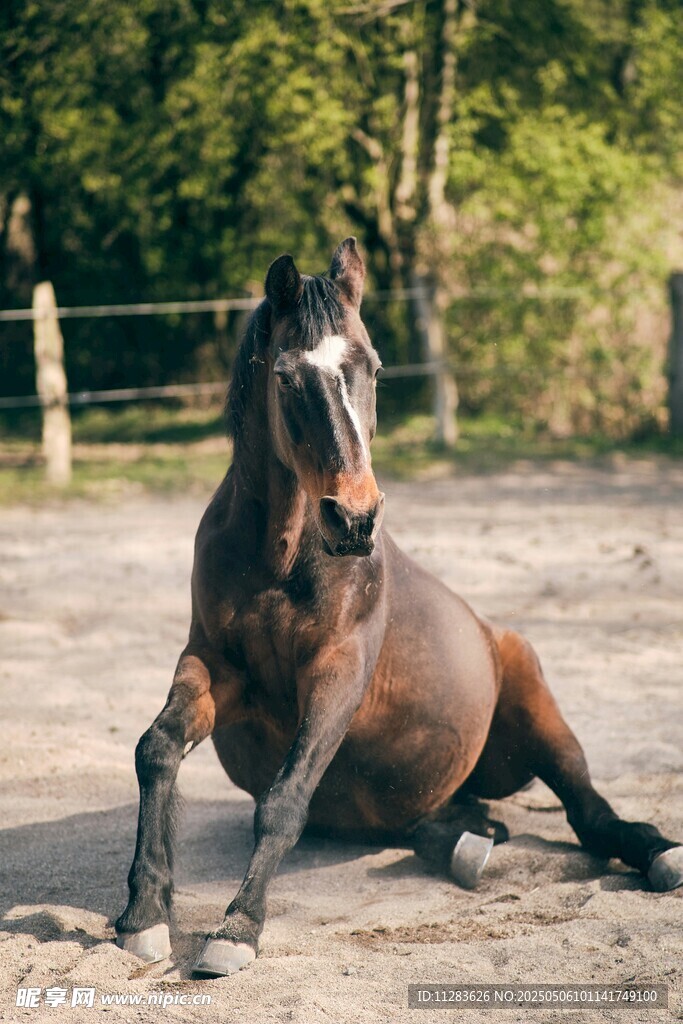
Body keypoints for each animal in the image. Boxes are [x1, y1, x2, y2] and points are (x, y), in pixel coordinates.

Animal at [115, 238, 683, 976]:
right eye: (286, 377)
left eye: (374, 367)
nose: (354, 517)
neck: (279, 559)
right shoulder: (216, 666)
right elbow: (156, 749)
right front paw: (143, 913)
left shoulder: (337, 673)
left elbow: (283, 801)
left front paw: (235, 930)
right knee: (429, 823)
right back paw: (473, 844)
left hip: (539, 712)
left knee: (591, 815)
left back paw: (658, 854)